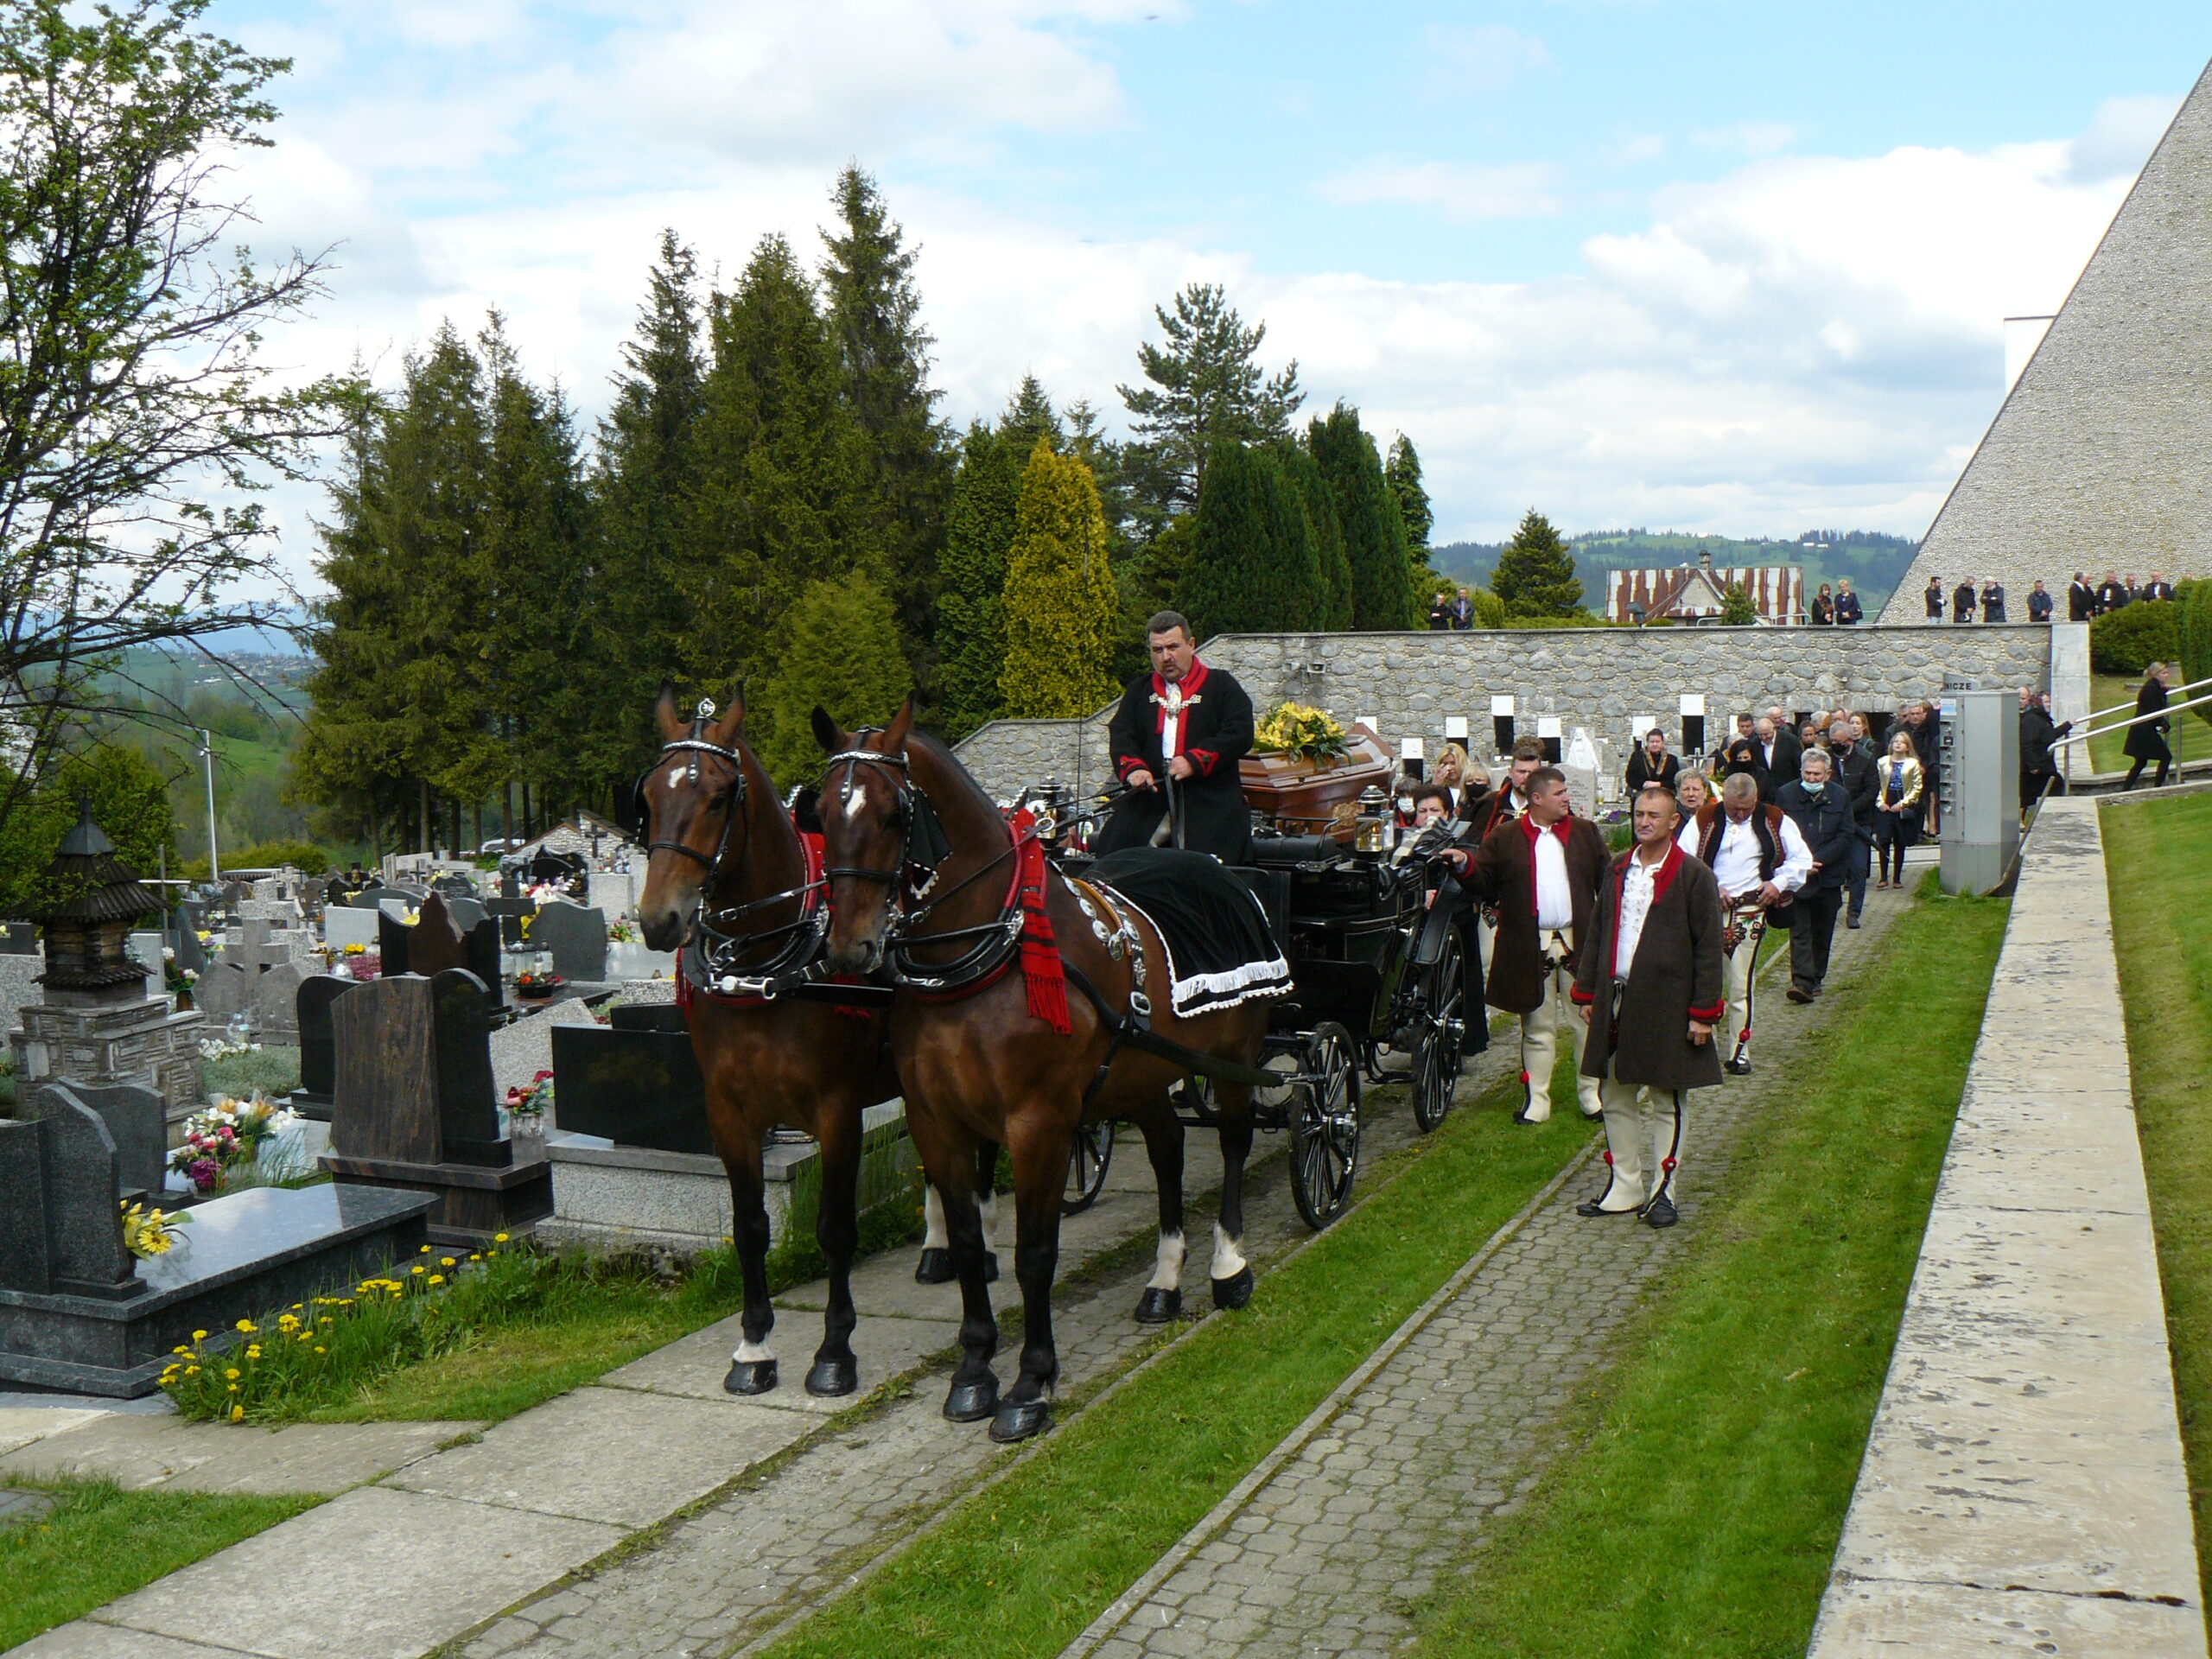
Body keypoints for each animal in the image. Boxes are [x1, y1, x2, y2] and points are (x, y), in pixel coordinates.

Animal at [632, 690, 898, 1407]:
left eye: (720, 796)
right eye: (649, 795)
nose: (659, 920)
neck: (761, 966)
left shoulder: (837, 1110)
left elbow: (835, 1228)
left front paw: (835, 1352)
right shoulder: (729, 1113)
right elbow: (750, 1228)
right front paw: (753, 1347)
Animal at [814, 703, 1274, 1442]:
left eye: (890, 814)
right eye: (822, 811)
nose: (848, 948)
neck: (983, 958)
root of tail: (1212, 864)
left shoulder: (1040, 1125)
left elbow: (1034, 1253)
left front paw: (1031, 1383)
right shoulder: (937, 1121)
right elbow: (967, 1243)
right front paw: (974, 1373)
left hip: (1233, 1056)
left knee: (1233, 1142)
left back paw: (1229, 1266)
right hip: (1144, 1073)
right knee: (1169, 1151)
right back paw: (1164, 1282)